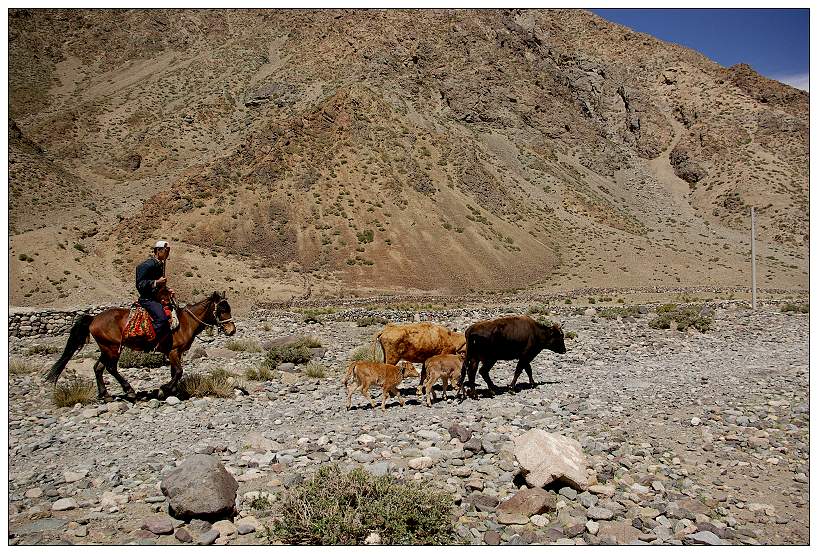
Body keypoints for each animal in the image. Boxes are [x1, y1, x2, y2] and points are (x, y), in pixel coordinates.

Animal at [45, 288, 236, 402]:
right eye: (222, 309)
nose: (232, 330)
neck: (185, 322)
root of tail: (94, 318)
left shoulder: (174, 353)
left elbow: (175, 372)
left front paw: (173, 391)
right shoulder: (173, 351)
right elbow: (179, 372)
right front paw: (163, 390)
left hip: (106, 348)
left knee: (98, 367)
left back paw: (105, 395)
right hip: (112, 348)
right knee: (110, 368)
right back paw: (129, 391)